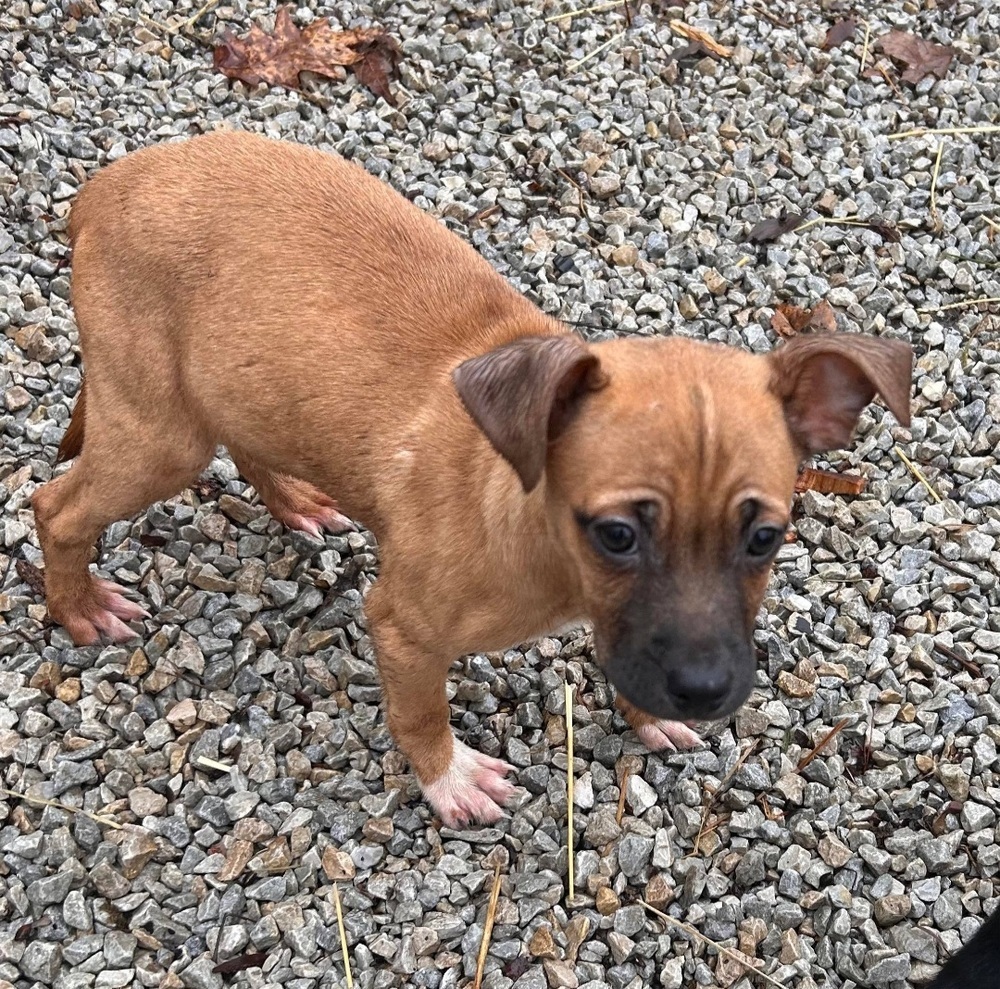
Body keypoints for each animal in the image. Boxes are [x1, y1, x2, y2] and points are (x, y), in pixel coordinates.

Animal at [33, 131, 916, 824]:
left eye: (764, 537)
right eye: (617, 535)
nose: (701, 689)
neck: (528, 516)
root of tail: (106, 184)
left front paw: (644, 712)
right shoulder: (403, 626)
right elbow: (422, 711)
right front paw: (449, 778)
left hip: (236, 383)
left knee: (246, 445)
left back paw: (296, 501)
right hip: (160, 433)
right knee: (56, 505)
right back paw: (79, 607)